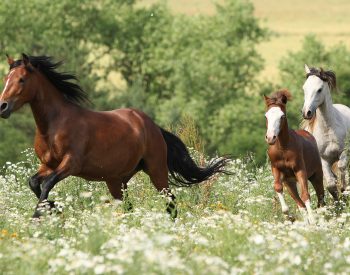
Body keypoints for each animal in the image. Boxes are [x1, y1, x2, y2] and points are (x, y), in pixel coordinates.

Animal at [0, 53, 230, 218]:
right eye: (6, 78)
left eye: (21, 80)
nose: (3, 107)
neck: (54, 125)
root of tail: (152, 125)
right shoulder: (48, 165)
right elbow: (33, 182)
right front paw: (53, 208)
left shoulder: (70, 164)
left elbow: (47, 184)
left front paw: (40, 213)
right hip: (117, 180)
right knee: (129, 205)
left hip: (156, 170)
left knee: (170, 201)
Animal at [266, 90, 326, 224]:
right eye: (266, 116)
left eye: (282, 116)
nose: (270, 137)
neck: (283, 148)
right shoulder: (276, 169)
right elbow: (278, 187)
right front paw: (288, 215)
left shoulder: (300, 170)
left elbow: (305, 195)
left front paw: (313, 221)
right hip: (290, 182)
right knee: (300, 203)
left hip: (316, 175)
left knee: (320, 197)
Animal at [300, 65, 350, 199]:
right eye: (304, 88)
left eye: (319, 89)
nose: (306, 112)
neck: (328, 129)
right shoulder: (324, 160)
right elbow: (331, 184)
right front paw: (338, 201)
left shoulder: (343, 152)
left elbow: (341, 167)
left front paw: (344, 188)